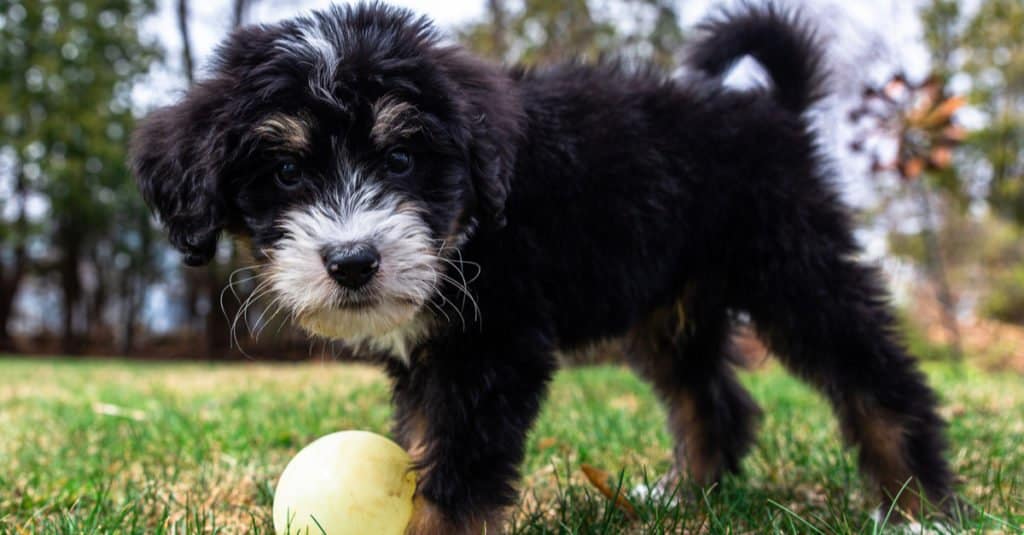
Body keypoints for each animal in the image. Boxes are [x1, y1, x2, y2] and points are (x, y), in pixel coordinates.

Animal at [132, 2, 954, 528]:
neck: (472, 227)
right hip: (671, 308)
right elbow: (429, 444)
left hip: (794, 264)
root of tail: (771, 110)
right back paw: (687, 498)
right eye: (286, 173)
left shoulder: (494, 349)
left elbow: (458, 473)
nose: (353, 261)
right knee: (713, 400)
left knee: (878, 377)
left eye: (400, 160)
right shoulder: (435, 355)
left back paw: (919, 505)